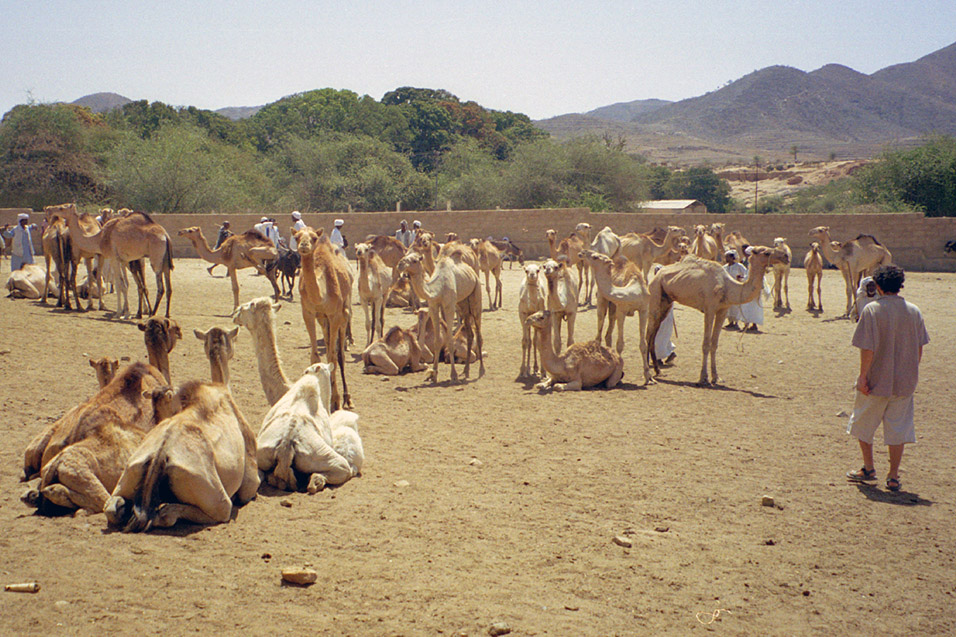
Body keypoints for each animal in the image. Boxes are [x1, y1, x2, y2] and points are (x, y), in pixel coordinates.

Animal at [104, 378, 260, 532]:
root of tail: (159, 454)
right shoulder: (250, 482)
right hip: (218, 501)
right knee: (169, 515)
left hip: (131, 470)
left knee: (112, 508)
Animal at [398, 245, 486, 382]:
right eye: (405, 255)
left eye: (415, 260)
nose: (400, 264)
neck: (438, 288)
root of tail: (471, 272)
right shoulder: (434, 306)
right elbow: (437, 340)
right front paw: (434, 375)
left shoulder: (449, 306)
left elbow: (449, 340)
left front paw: (453, 374)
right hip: (462, 304)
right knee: (470, 334)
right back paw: (466, 371)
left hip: (476, 294)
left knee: (478, 332)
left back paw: (481, 371)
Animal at [580, 251, 652, 386]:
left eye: (595, 257)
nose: (582, 253)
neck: (634, 291)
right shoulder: (621, 310)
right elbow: (620, 344)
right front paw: (618, 375)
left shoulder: (644, 310)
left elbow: (643, 344)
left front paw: (649, 378)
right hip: (602, 300)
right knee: (599, 332)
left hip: (613, 308)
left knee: (608, 334)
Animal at [644, 247, 776, 388]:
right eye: (766, 252)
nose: (784, 256)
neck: (727, 286)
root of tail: (655, 277)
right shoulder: (709, 310)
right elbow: (706, 344)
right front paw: (703, 378)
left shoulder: (722, 310)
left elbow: (715, 343)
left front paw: (716, 377)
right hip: (655, 293)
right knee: (648, 334)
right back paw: (649, 374)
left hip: (665, 302)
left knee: (653, 334)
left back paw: (657, 370)